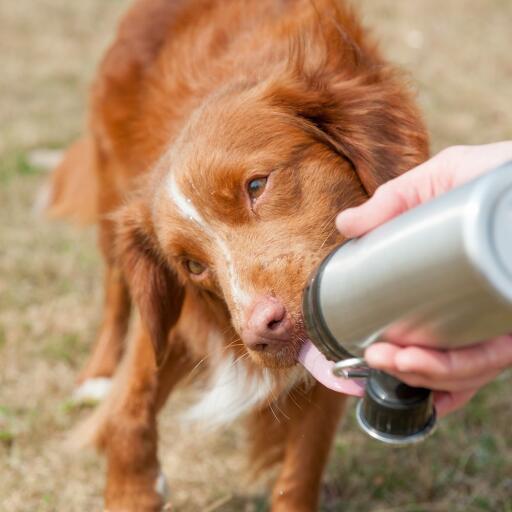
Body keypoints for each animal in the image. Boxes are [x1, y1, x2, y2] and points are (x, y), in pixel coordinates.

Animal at [47, 1, 428, 508]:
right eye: (192, 266)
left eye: (256, 185)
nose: (260, 331)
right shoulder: (174, 316)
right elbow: (129, 409)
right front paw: (132, 491)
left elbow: (301, 466)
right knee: (114, 290)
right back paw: (97, 374)